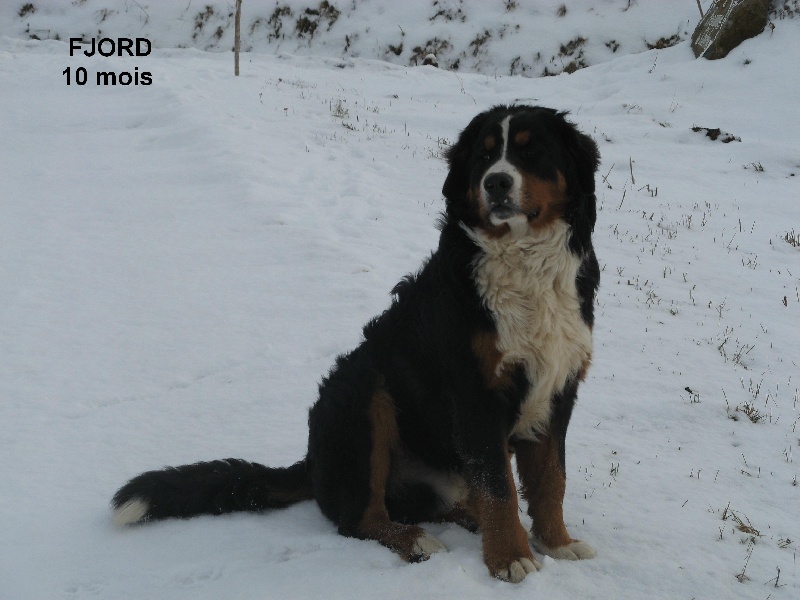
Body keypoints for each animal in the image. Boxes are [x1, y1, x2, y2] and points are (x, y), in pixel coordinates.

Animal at [112, 105, 600, 584]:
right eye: (483, 156)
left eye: (531, 151)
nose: (496, 182)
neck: (525, 266)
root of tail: (312, 461)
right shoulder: (475, 394)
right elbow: (499, 487)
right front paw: (510, 559)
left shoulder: (557, 388)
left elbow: (550, 479)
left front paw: (557, 543)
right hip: (363, 394)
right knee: (359, 518)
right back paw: (415, 540)